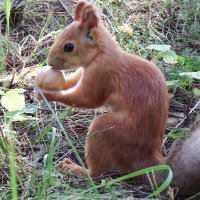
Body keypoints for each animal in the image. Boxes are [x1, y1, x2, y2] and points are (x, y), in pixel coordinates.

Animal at [36, 0, 169, 177]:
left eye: (69, 46)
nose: (50, 63)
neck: (101, 52)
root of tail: (147, 156)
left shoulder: (101, 73)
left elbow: (87, 99)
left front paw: (47, 94)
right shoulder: (83, 72)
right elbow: (71, 82)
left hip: (108, 130)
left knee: (96, 173)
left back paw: (75, 168)